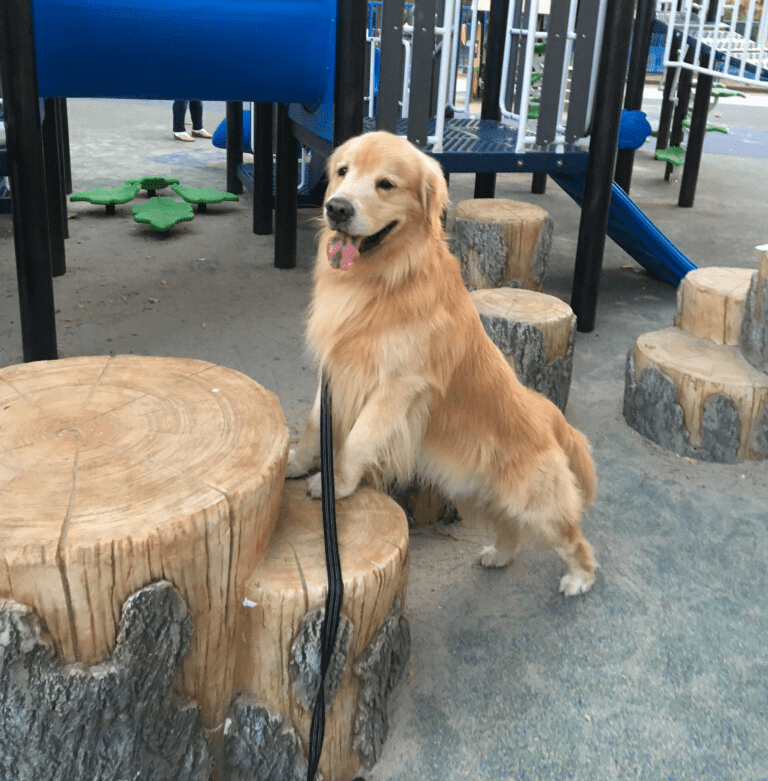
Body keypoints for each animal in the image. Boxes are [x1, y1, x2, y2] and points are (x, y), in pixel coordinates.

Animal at [284, 131, 596, 596]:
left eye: (386, 184)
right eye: (342, 171)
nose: (337, 208)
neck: (383, 281)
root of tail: (550, 416)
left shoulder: (398, 385)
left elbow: (359, 439)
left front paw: (335, 483)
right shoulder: (335, 373)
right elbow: (313, 427)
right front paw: (293, 463)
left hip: (533, 499)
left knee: (572, 537)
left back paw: (579, 577)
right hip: (471, 490)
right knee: (510, 529)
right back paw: (499, 555)